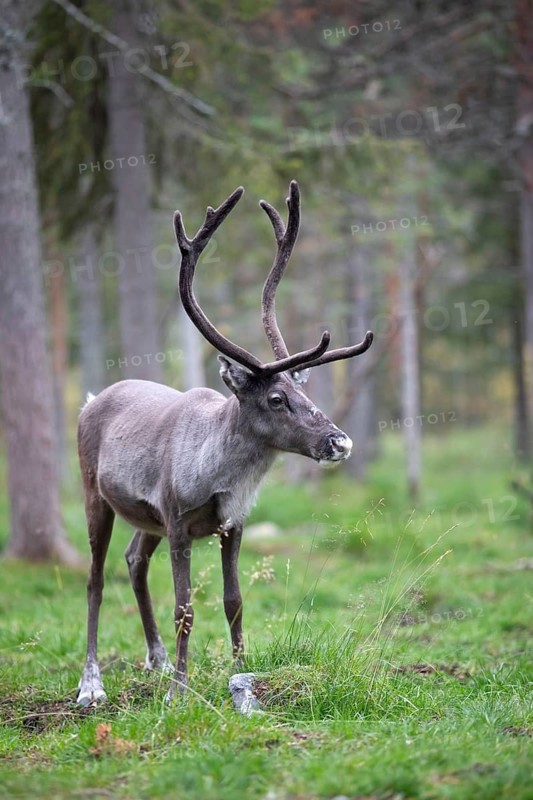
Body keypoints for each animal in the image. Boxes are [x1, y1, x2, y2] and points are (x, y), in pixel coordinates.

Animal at [76, 180, 373, 706]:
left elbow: (233, 600)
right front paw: (179, 690)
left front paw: (240, 670)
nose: (340, 441)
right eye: (276, 398)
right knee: (94, 579)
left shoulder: (233, 524)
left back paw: (155, 659)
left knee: (133, 561)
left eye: (305, 392)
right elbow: (185, 608)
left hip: (146, 517)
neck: (220, 474)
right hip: (97, 494)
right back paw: (92, 683)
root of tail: (91, 400)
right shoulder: (178, 521)